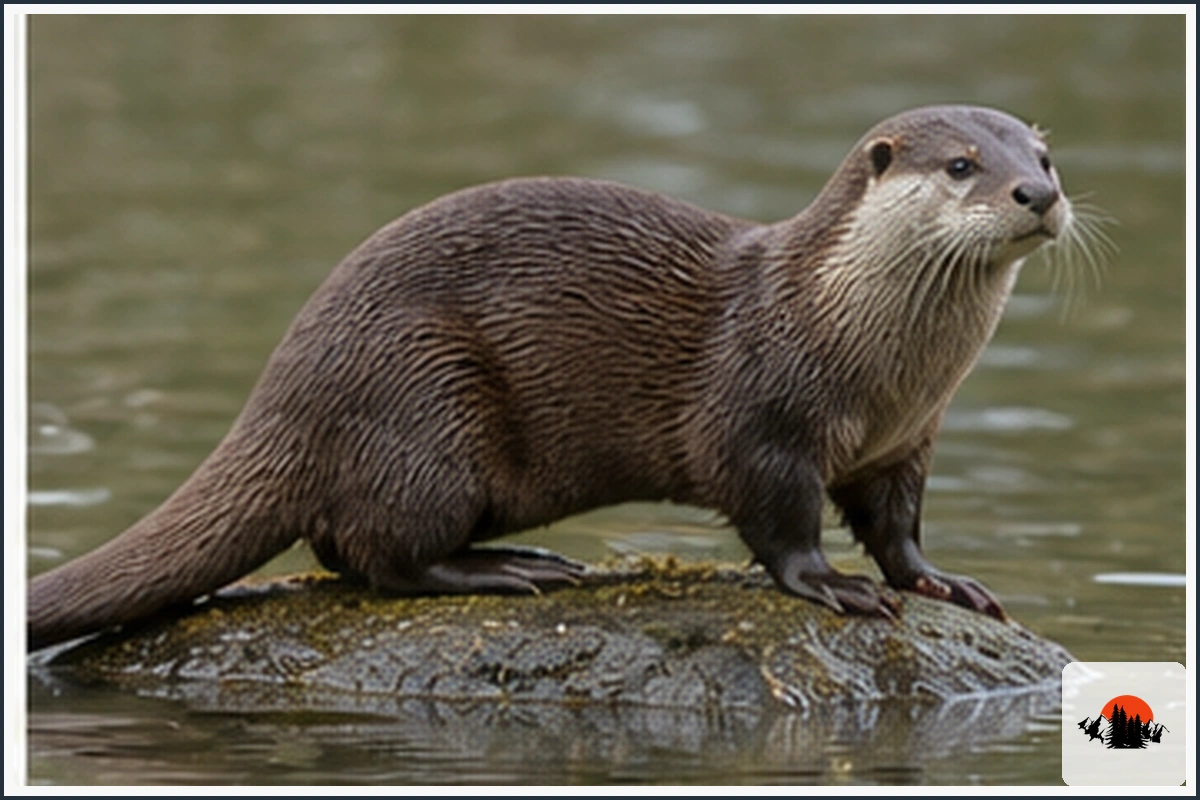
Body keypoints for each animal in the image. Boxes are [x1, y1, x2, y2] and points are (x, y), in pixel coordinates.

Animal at [28, 105, 1077, 651]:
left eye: (1043, 154)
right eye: (962, 165)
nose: (1038, 193)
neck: (863, 352)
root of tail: (283, 388)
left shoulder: (907, 442)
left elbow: (898, 528)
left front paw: (942, 582)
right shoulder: (762, 419)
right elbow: (779, 522)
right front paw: (833, 588)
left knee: (338, 549)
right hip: (425, 399)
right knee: (379, 554)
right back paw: (507, 571)